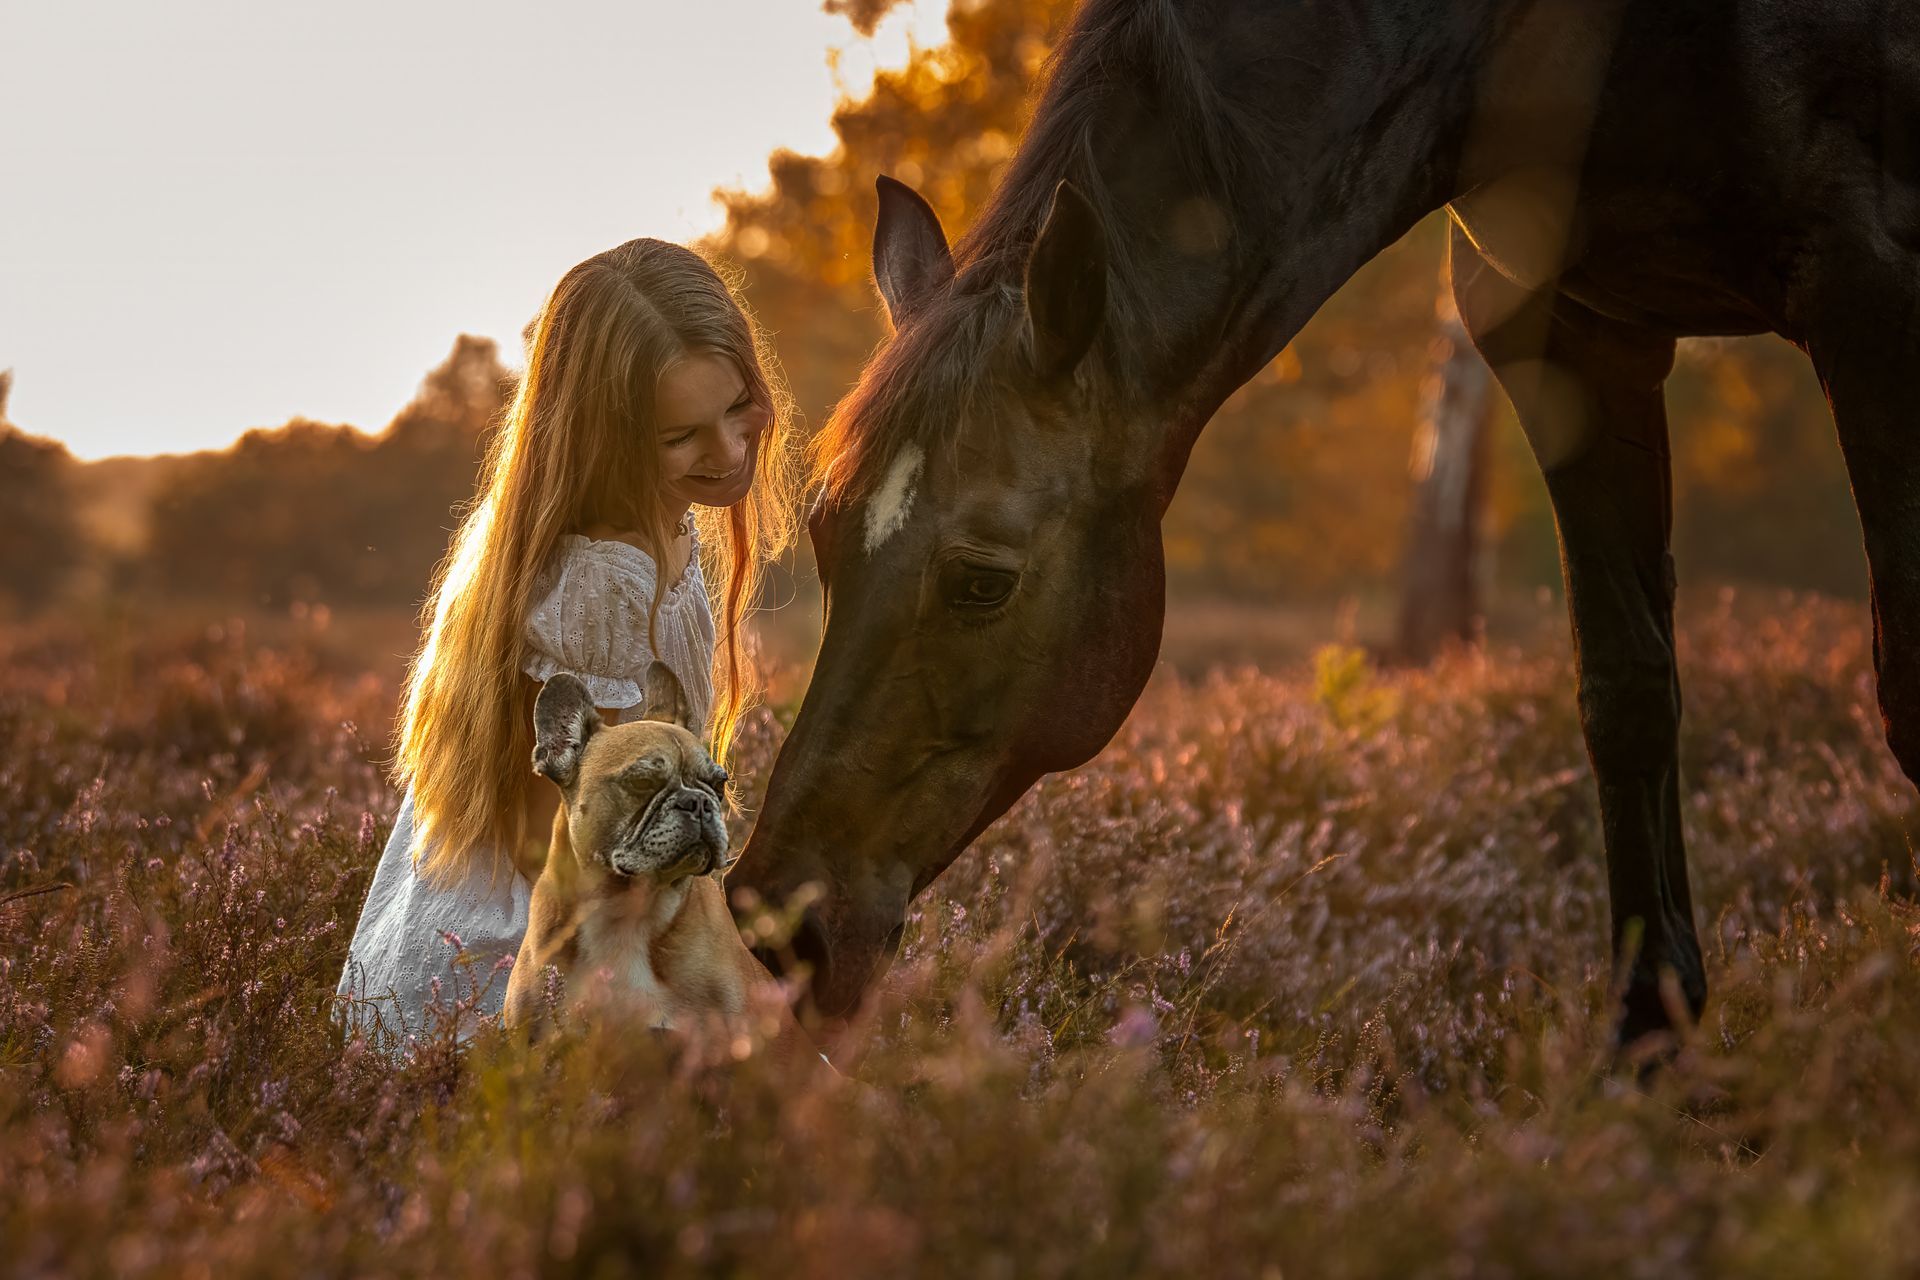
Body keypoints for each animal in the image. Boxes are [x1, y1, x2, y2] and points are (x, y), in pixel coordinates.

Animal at [731, 0, 1920, 1048]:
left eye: (983, 579)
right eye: (826, 549)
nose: (778, 921)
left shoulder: (1873, 293)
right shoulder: (1567, 329)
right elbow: (1625, 692)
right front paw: (1647, 1052)